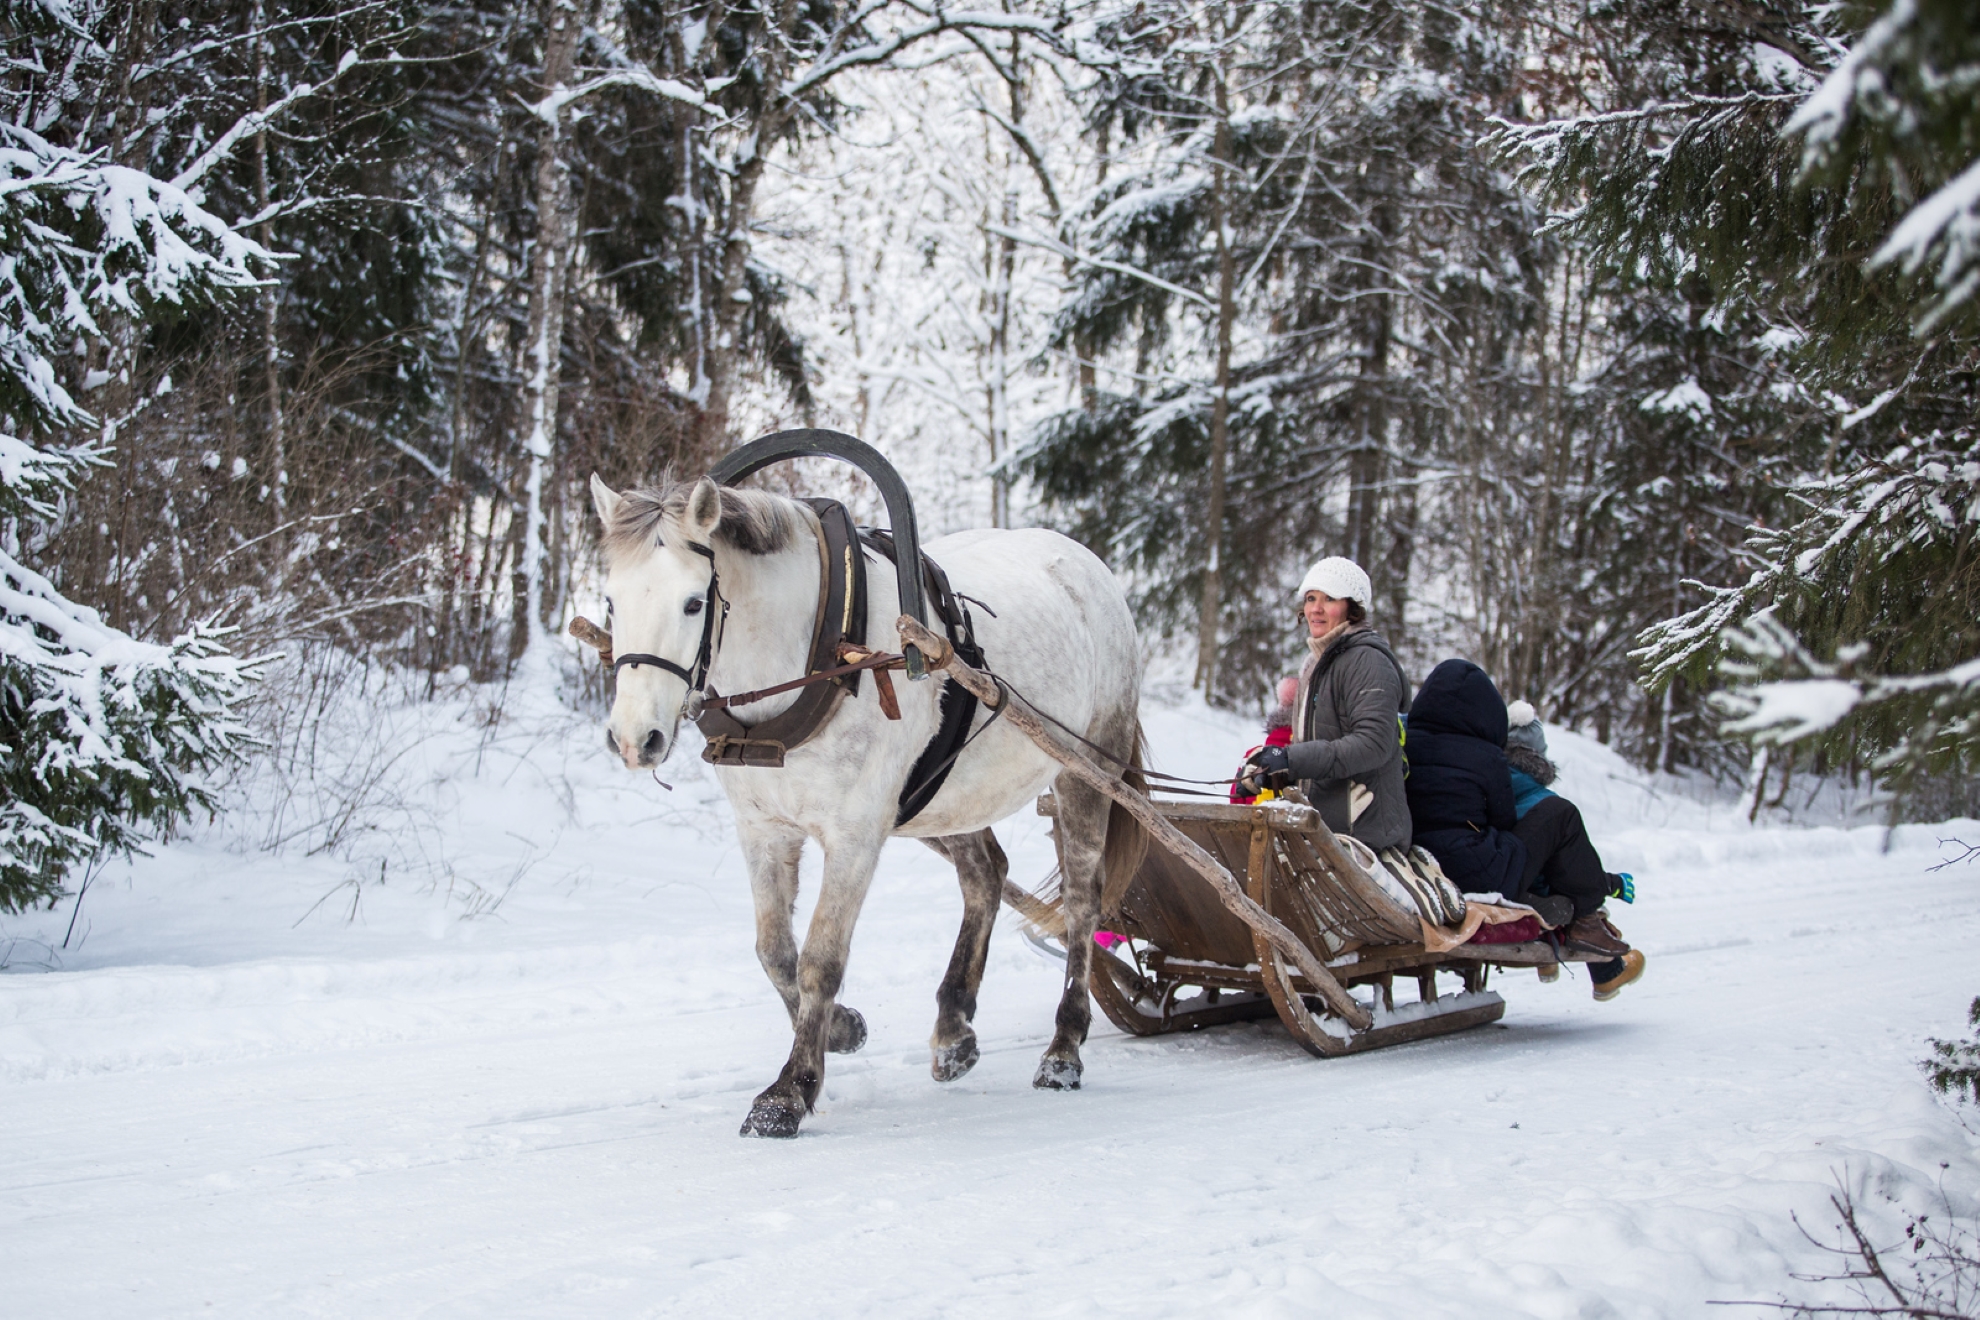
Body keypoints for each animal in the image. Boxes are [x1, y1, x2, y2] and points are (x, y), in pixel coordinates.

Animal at [586, 472, 1148, 1139]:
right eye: (612, 602)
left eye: (694, 603)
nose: (634, 739)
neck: (816, 652)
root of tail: (1088, 563)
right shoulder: (763, 829)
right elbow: (774, 951)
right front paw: (842, 1028)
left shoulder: (854, 835)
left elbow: (821, 959)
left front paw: (787, 1093)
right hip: (943, 793)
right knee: (986, 874)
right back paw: (954, 1031)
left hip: (1086, 769)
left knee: (1083, 901)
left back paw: (1063, 1048)